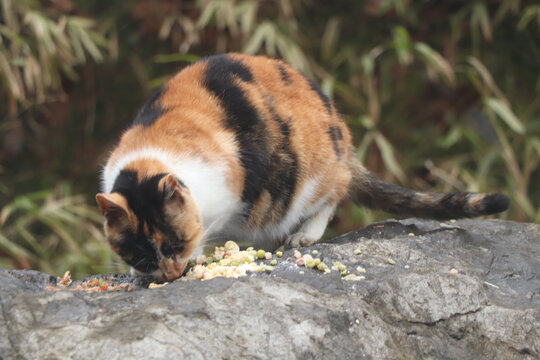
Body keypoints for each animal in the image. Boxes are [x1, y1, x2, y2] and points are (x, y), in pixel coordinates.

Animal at [97, 52, 510, 282]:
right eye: (138, 254)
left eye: (176, 244)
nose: (168, 275)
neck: (151, 158)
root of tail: (346, 145)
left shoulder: (228, 198)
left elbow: (207, 230)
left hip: (315, 177)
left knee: (330, 199)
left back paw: (303, 235)